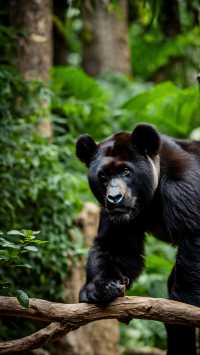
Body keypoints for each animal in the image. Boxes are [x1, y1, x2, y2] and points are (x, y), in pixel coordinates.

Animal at [75, 124, 200, 355]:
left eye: (126, 171)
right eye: (103, 176)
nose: (114, 198)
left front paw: (186, 301)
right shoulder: (118, 221)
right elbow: (117, 249)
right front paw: (100, 289)